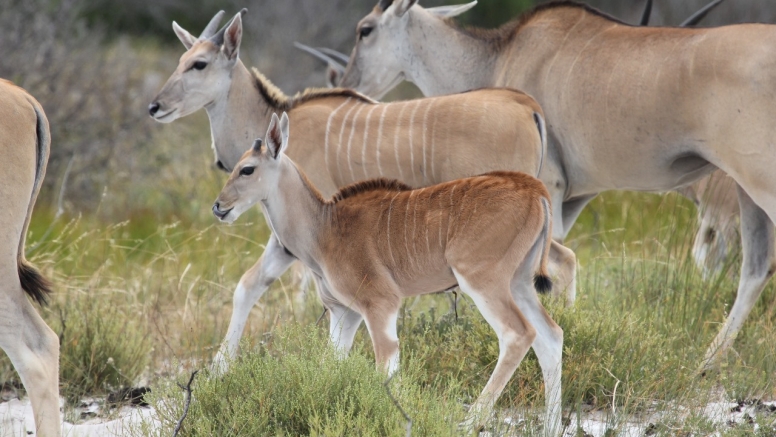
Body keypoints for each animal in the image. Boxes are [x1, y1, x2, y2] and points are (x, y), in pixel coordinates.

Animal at [212, 112, 564, 432]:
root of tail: (534, 189)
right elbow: (331, 365)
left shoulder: (380, 303)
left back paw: (469, 421)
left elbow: (386, 362)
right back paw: (551, 426)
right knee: (551, 336)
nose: (218, 207)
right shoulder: (344, 313)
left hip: (482, 282)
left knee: (518, 335)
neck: (325, 228)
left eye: (247, 169)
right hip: (519, 285)